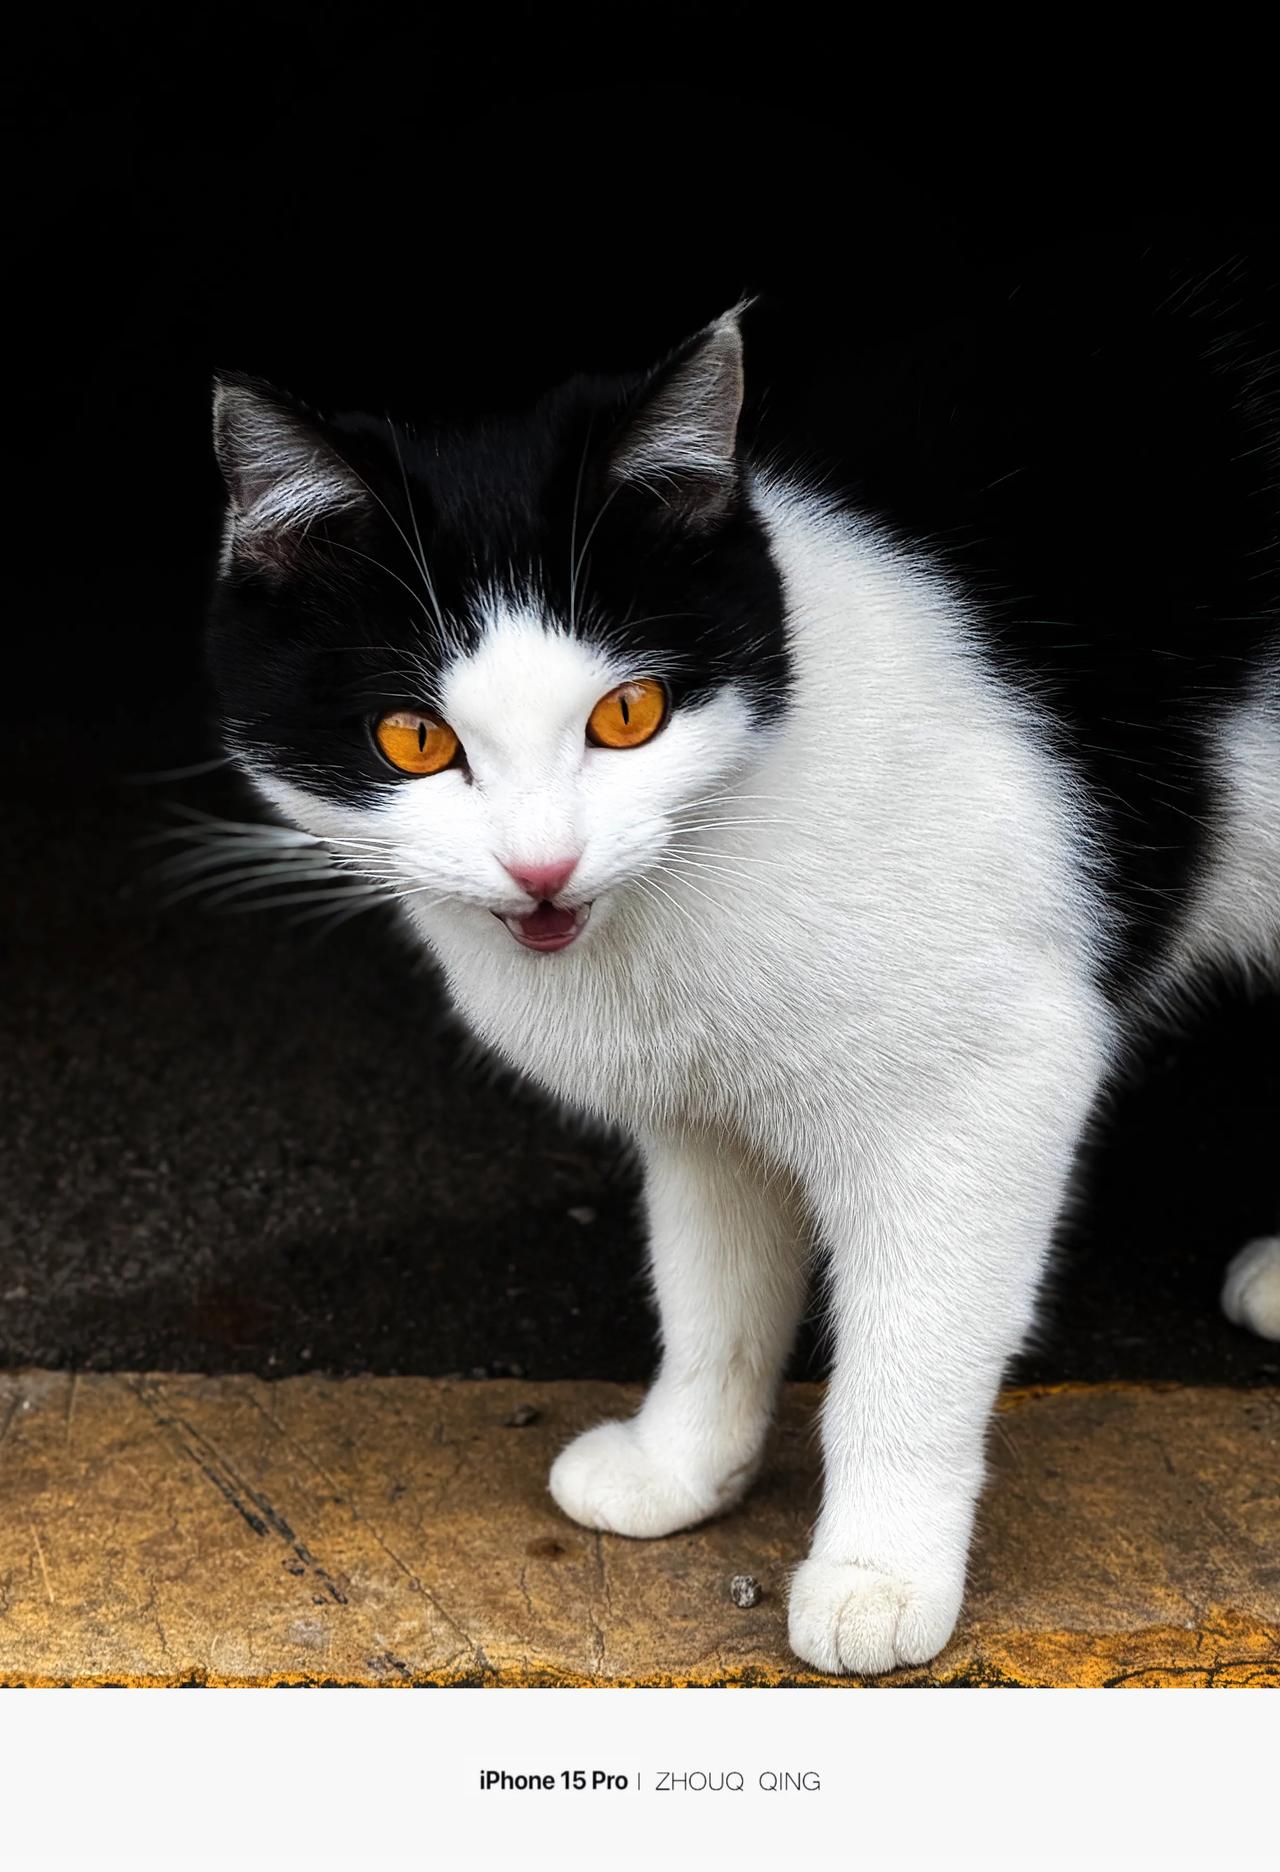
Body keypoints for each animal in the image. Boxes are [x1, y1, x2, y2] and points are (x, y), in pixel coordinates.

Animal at [204, 237, 1280, 1684]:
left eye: (630, 714)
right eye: (415, 740)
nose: (541, 868)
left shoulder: (991, 1085)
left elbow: (912, 1346)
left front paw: (878, 1572)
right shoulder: (702, 1114)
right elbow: (711, 1291)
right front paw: (684, 1466)